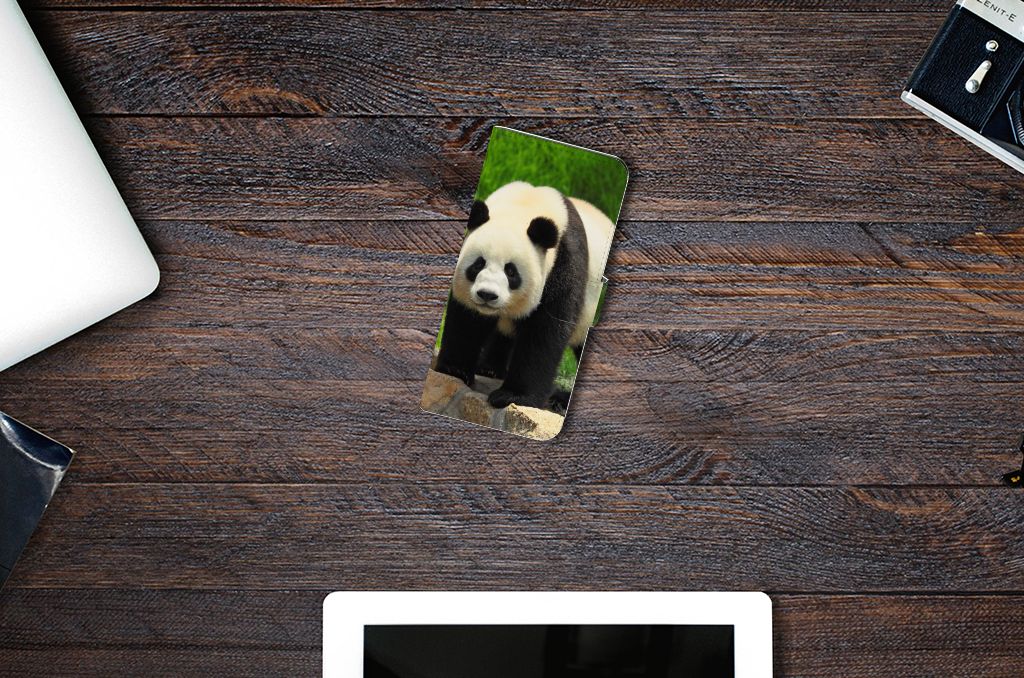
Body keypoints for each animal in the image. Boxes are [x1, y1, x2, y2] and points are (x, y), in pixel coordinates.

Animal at [434, 181, 613, 411]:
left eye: (511, 271)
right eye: (478, 264)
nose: (487, 295)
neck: (523, 206)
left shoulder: (564, 265)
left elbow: (544, 333)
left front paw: (512, 396)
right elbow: (467, 319)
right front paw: (455, 369)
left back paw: (560, 399)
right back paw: (490, 368)